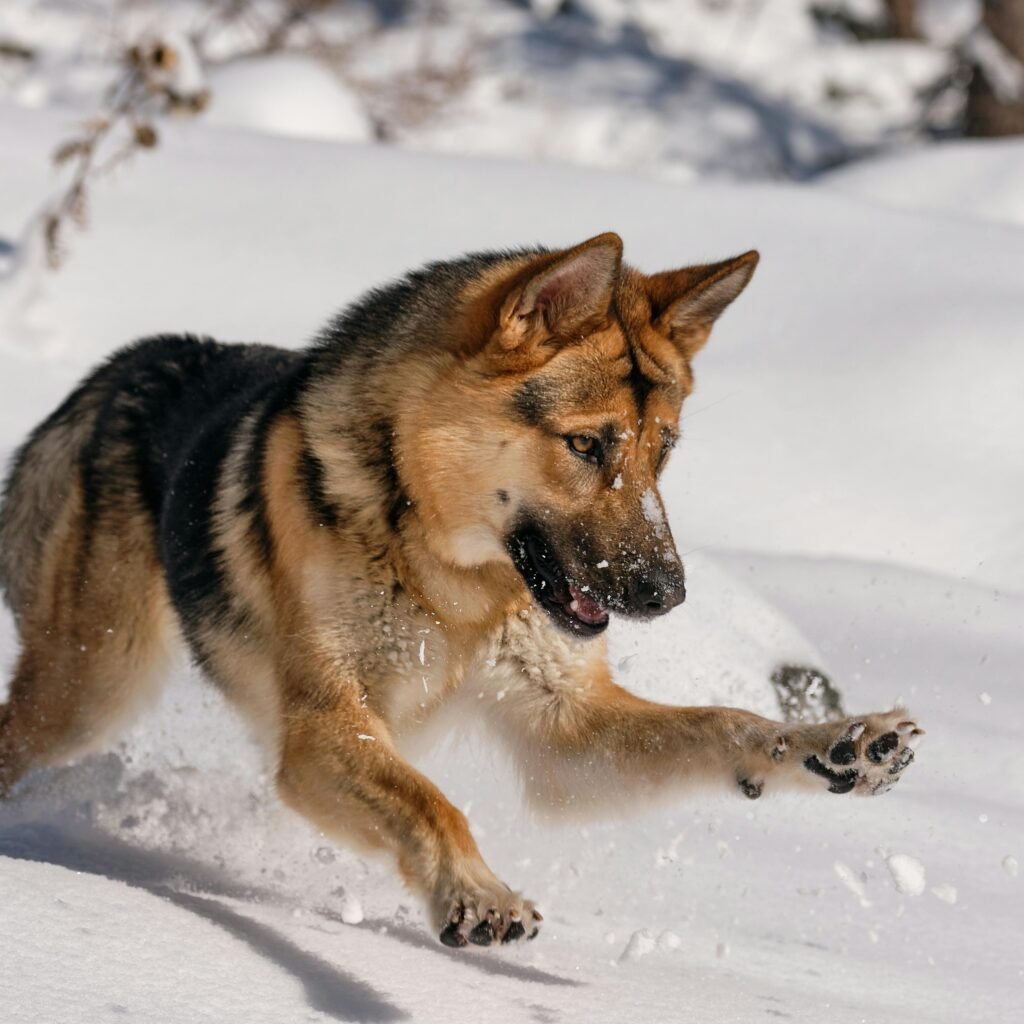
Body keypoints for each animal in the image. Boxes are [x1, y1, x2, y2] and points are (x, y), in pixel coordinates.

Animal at [0, 232, 925, 942]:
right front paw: (478, 892)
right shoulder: (322, 729)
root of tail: (127, 364)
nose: (669, 594)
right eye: (587, 445)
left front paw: (842, 742)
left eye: (662, 453)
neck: (447, 574)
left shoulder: (564, 731)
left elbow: (725, 723)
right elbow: (432, 803)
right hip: (91, 692)